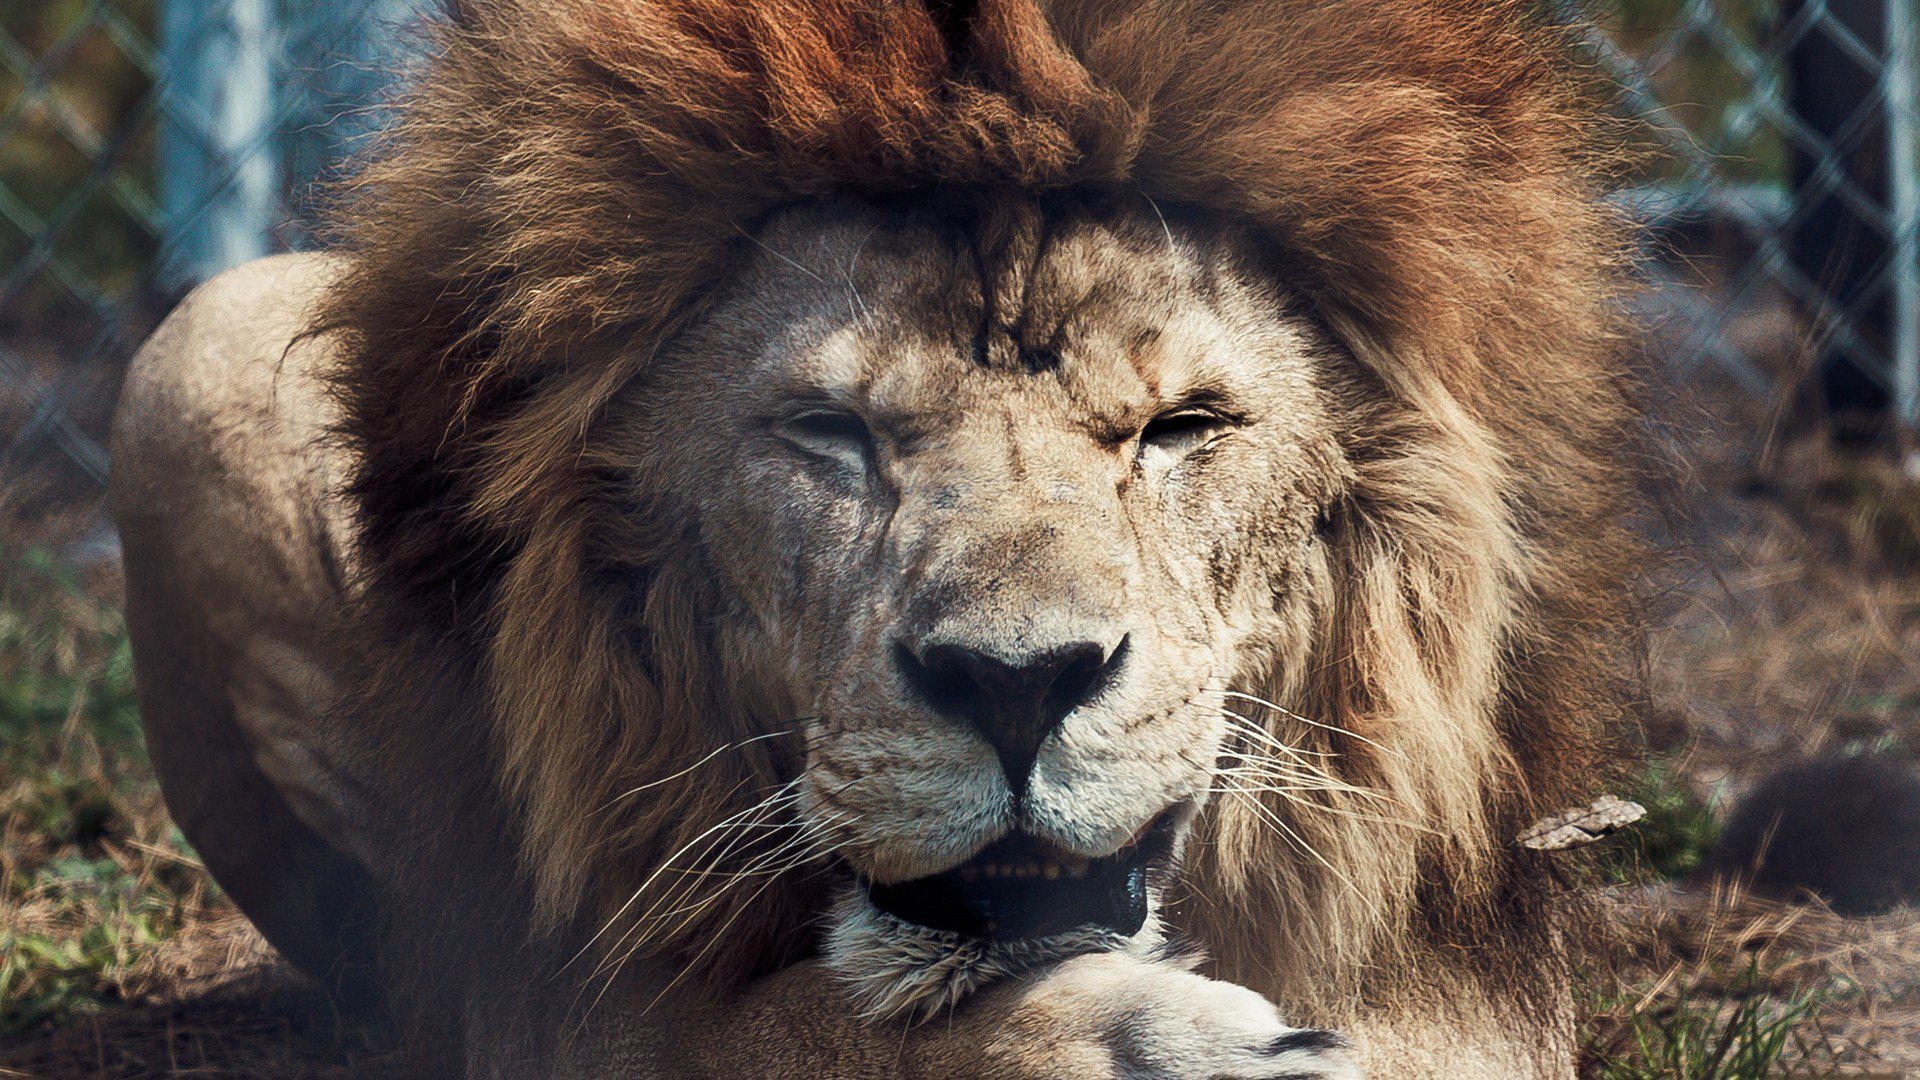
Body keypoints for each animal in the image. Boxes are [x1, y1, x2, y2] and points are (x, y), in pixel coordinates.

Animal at [108, 1, 1643, 1076]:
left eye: (1181, 427)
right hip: (194, 347)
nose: (1016, 686)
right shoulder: (554, 1001)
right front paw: (1151, 1047)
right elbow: (788, 1031)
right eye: (828, 431)